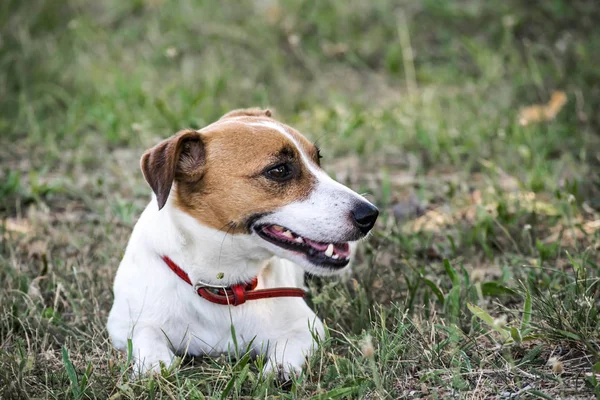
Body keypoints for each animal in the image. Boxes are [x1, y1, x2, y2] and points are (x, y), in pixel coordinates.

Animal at [107, 107, 378, 378]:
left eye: (317, 159)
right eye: (279, 170)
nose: (370, 215)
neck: (222, 286)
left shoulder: (305, 327)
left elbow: (288, 347)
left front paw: (280, 370)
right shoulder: (122, 324)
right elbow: (145, 334)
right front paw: (154, 365)